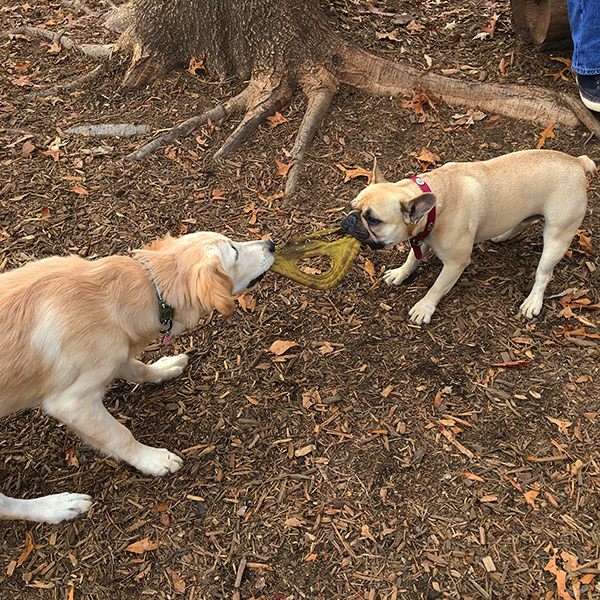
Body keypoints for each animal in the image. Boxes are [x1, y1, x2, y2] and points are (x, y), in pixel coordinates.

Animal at [0, 232, 276, 524]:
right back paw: (57, 506)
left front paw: (164, 367)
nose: (271, 244)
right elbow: (120, 436)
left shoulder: (117, 356)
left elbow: (140, 369)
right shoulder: (72, 403)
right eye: (234, 252)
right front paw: (153, 459)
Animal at [342, 150, 596, 326]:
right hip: (527, 214)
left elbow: (437, 287)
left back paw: (533, 301)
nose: (350, 219)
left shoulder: (456, 263)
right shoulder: (421, 237)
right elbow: (412, 259)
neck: (436, 205)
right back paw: (502, 235)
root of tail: (578, 162)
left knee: (544, 273)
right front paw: (400, 273)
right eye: (352, 206)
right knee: (523, 222)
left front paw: (424, 308)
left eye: (373, 219)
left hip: (557, 236)